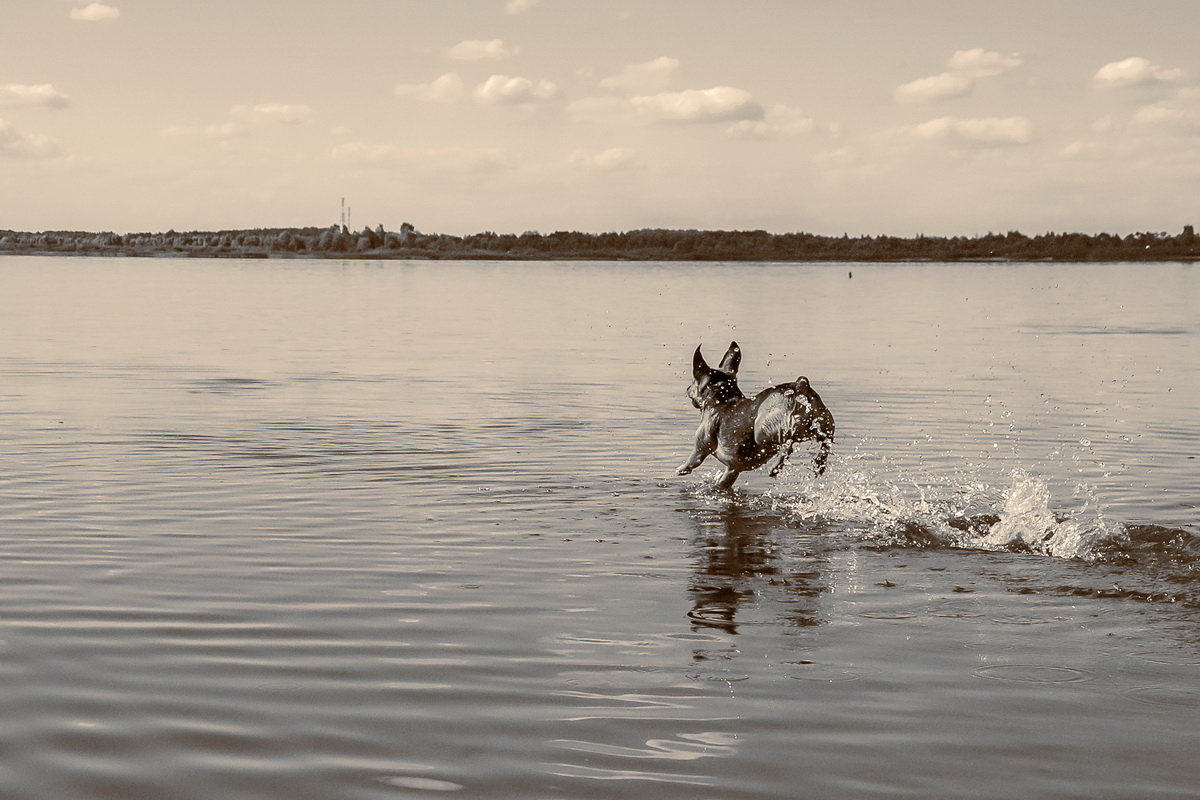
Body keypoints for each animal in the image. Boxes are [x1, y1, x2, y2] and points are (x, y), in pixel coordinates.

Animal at [676, 343, 835, 491]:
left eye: (693, 382)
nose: (687, 389)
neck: (723, 399)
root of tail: (799, 386)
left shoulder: (702, 444)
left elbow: (694, 459)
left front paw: (681, 469)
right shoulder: (733, 469)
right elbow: (724, 482)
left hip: (764, 431)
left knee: (787, 444)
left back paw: (775, 467)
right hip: (823, 423)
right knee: (826, 441)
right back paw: (819, 463)